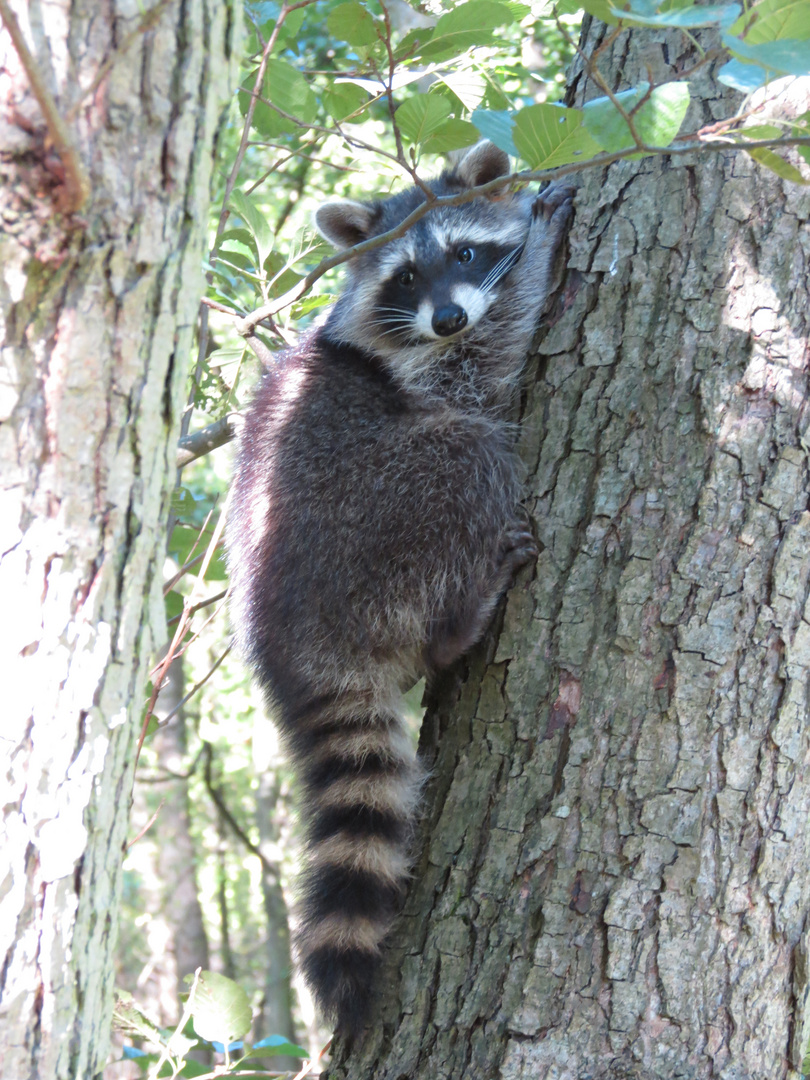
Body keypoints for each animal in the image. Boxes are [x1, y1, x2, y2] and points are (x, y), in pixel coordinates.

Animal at [225, 139, 574, 1032]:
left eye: (463, 254)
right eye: (406, 277)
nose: (448, 317)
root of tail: (293, 647)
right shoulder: (421, 367)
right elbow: (485, 366)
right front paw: (539, 253)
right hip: (374, 521)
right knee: (465, 450)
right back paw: (458, 624)